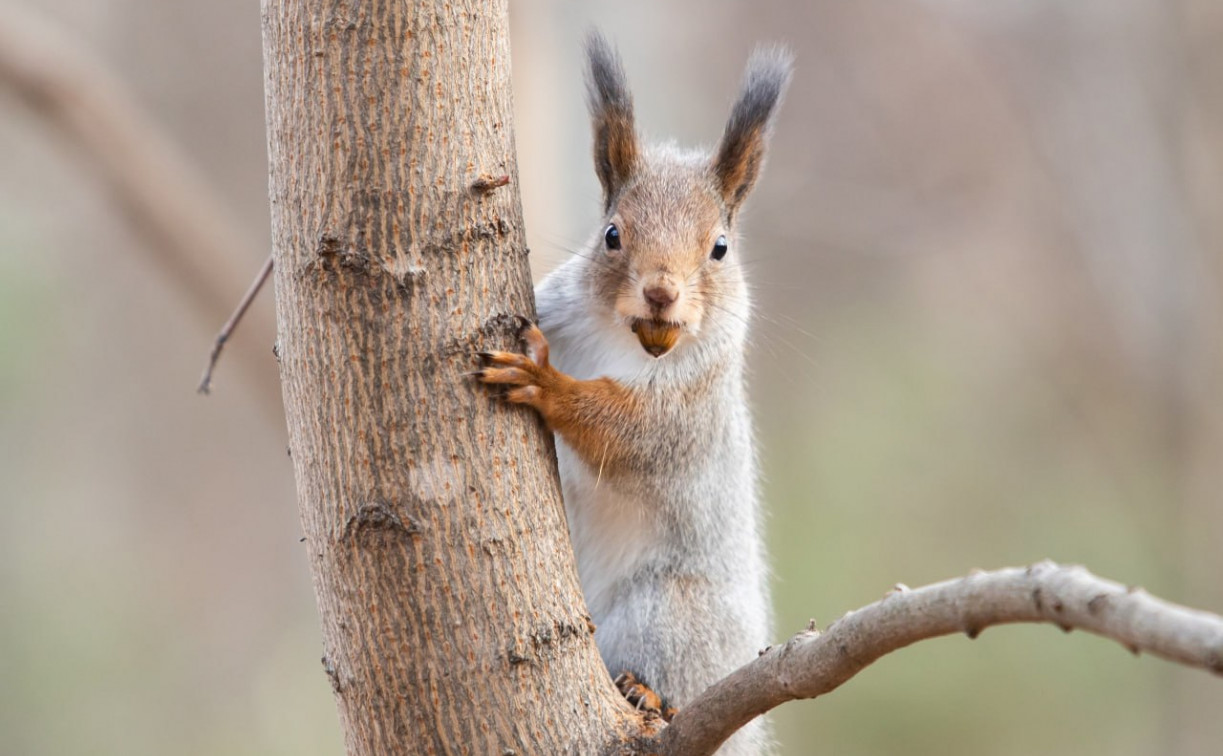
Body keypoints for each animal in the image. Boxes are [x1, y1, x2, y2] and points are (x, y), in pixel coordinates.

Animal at [476, 30, 792, 753]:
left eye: (720, 248)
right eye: (612, 235)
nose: (660, 292)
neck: (632, 344)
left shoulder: (690, 409)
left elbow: (625, 434)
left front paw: (545, 383)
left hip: (671, 614)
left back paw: (650, 695)